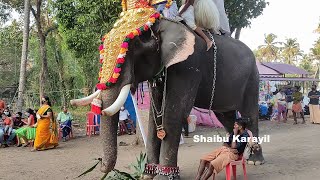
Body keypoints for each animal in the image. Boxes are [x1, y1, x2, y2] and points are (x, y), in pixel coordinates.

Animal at [70, 0, 264, 179]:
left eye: (133, 45)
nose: (99, 163)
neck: (164, 22)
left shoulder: (188, 65)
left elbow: (174, 113)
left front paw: (164, 176)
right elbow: (154, 116)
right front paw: (147, 175)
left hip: (252, 78)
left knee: (250, 114)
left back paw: (255, 160)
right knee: (227, 116)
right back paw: (229, 147)